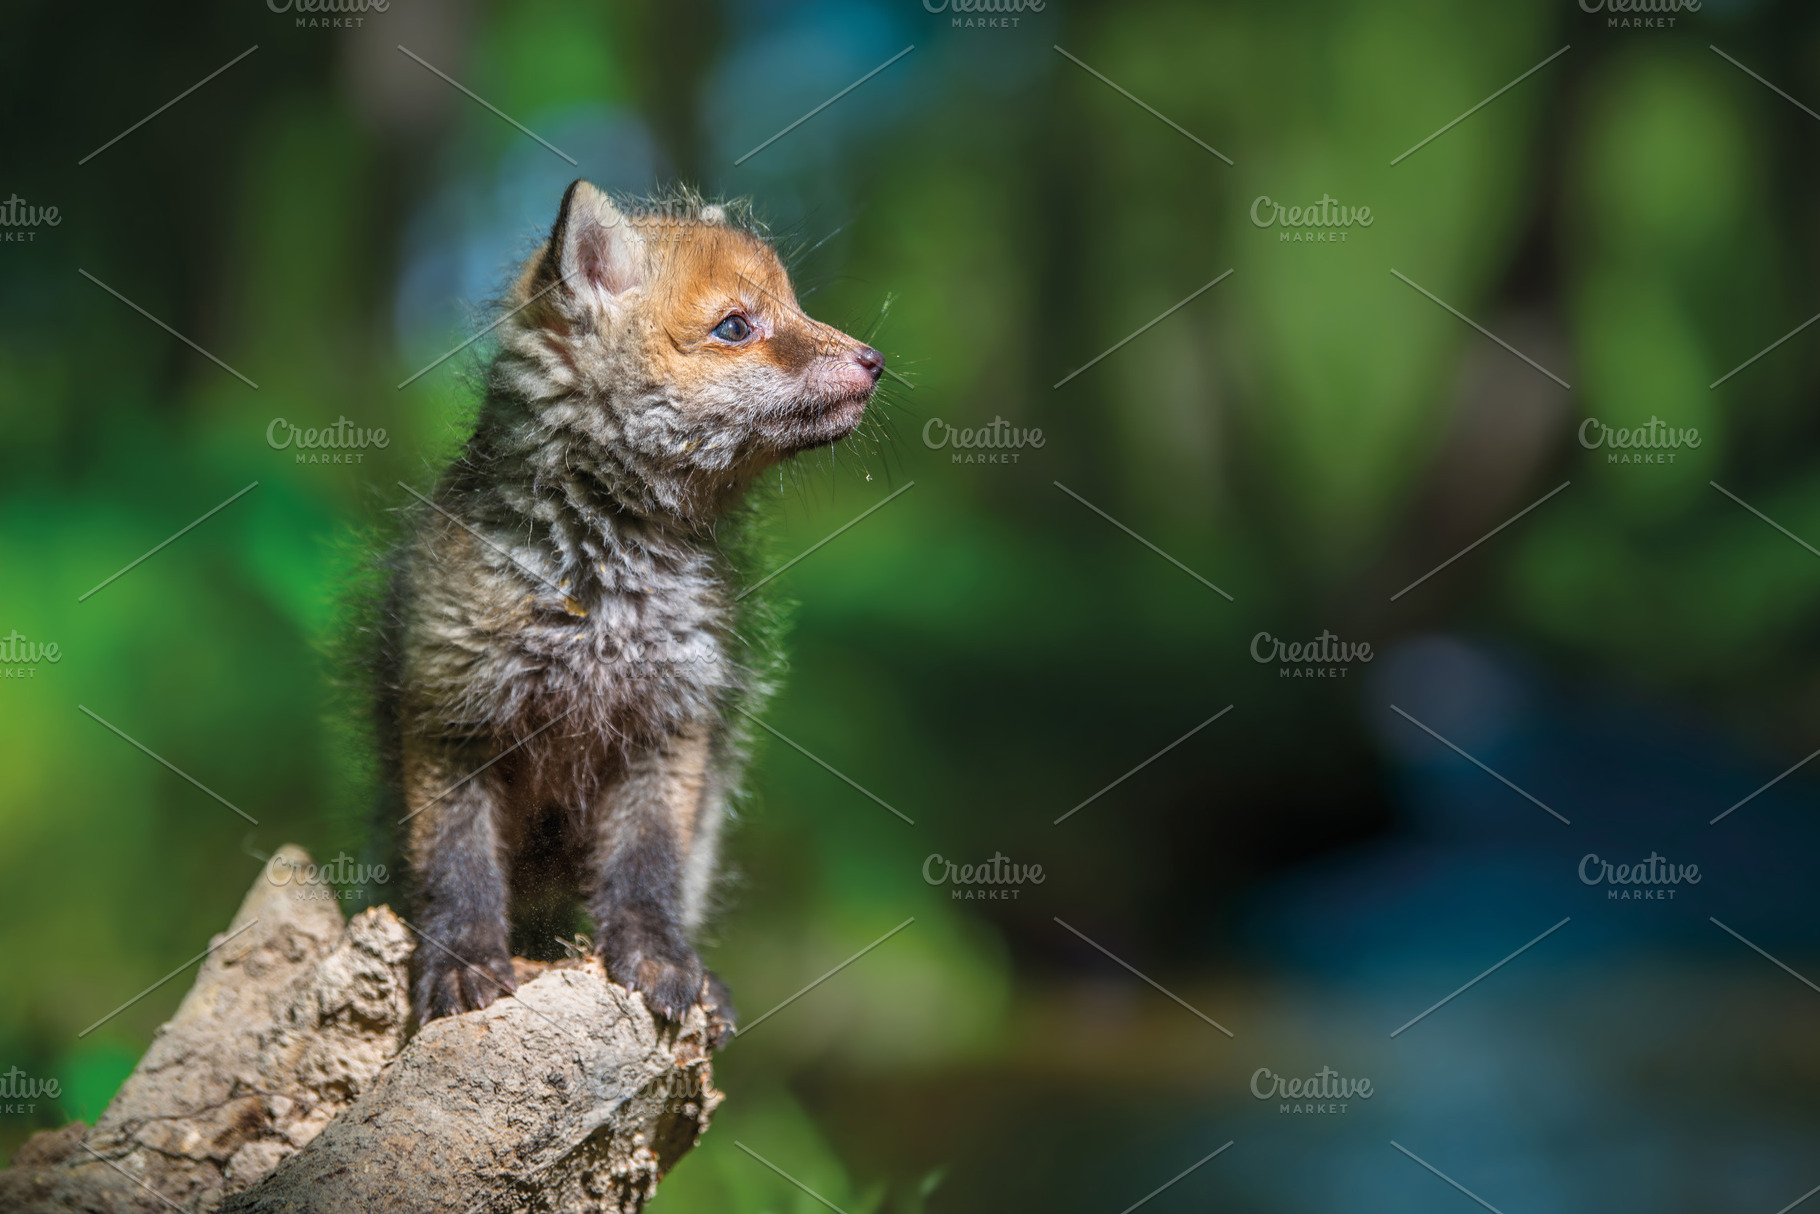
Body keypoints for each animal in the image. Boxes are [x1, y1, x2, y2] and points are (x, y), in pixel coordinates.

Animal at [375, 180, 884, 1036]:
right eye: (737, 325)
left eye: (796, 305)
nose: (874, 361)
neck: (601, 589)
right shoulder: (449, 715)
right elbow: (457, 867)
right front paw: (463, 961)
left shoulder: (669, 726)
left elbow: (647, 872)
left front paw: (657, 960)